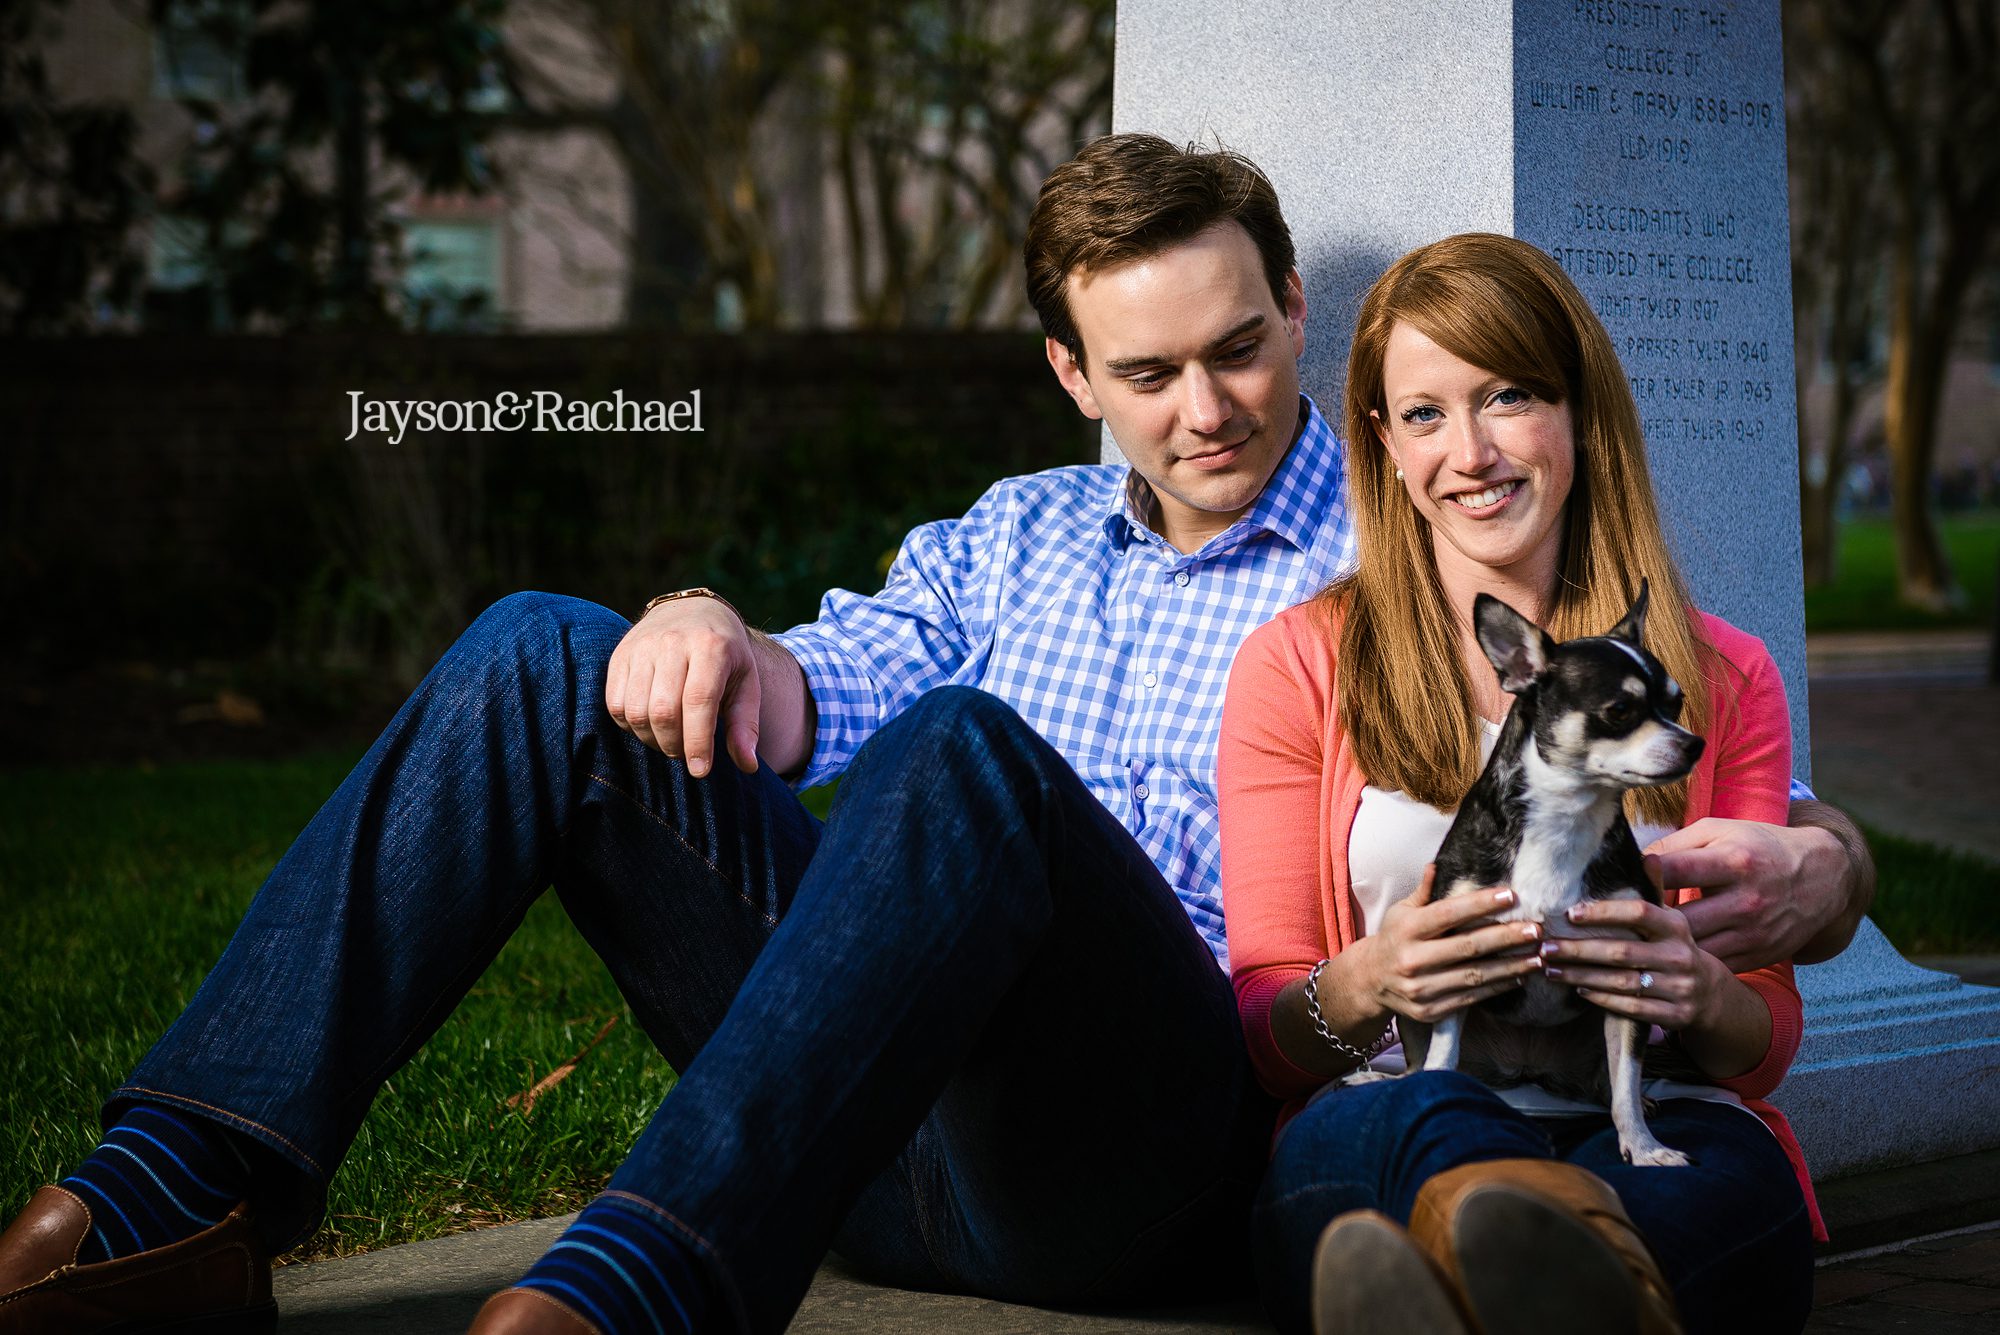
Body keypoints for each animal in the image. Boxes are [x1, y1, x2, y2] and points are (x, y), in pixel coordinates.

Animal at [1392, 583, 1704, 1167]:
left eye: (1675, 704)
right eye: (1620, 711)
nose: (1693, 743)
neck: (1567, 816)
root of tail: (1528, 1068)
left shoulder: (1628, 985)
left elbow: (1626, 1085)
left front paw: (1643, 1147)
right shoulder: (1453, 964)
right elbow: (1442, 1057)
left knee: (1613, 1081)